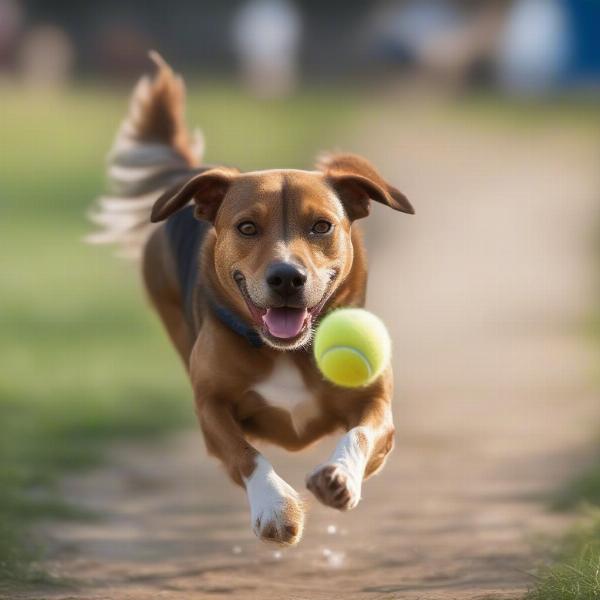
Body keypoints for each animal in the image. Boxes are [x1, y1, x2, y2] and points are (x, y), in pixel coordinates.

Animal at [90, 57, 412, 548]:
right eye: (246, 228)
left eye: (321, 226)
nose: (287, 277)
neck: (288, 351)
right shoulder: (210, 406)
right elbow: (246, 455)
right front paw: (275, 506)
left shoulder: (376, 403)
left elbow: (362, 433)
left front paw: (338, 476)